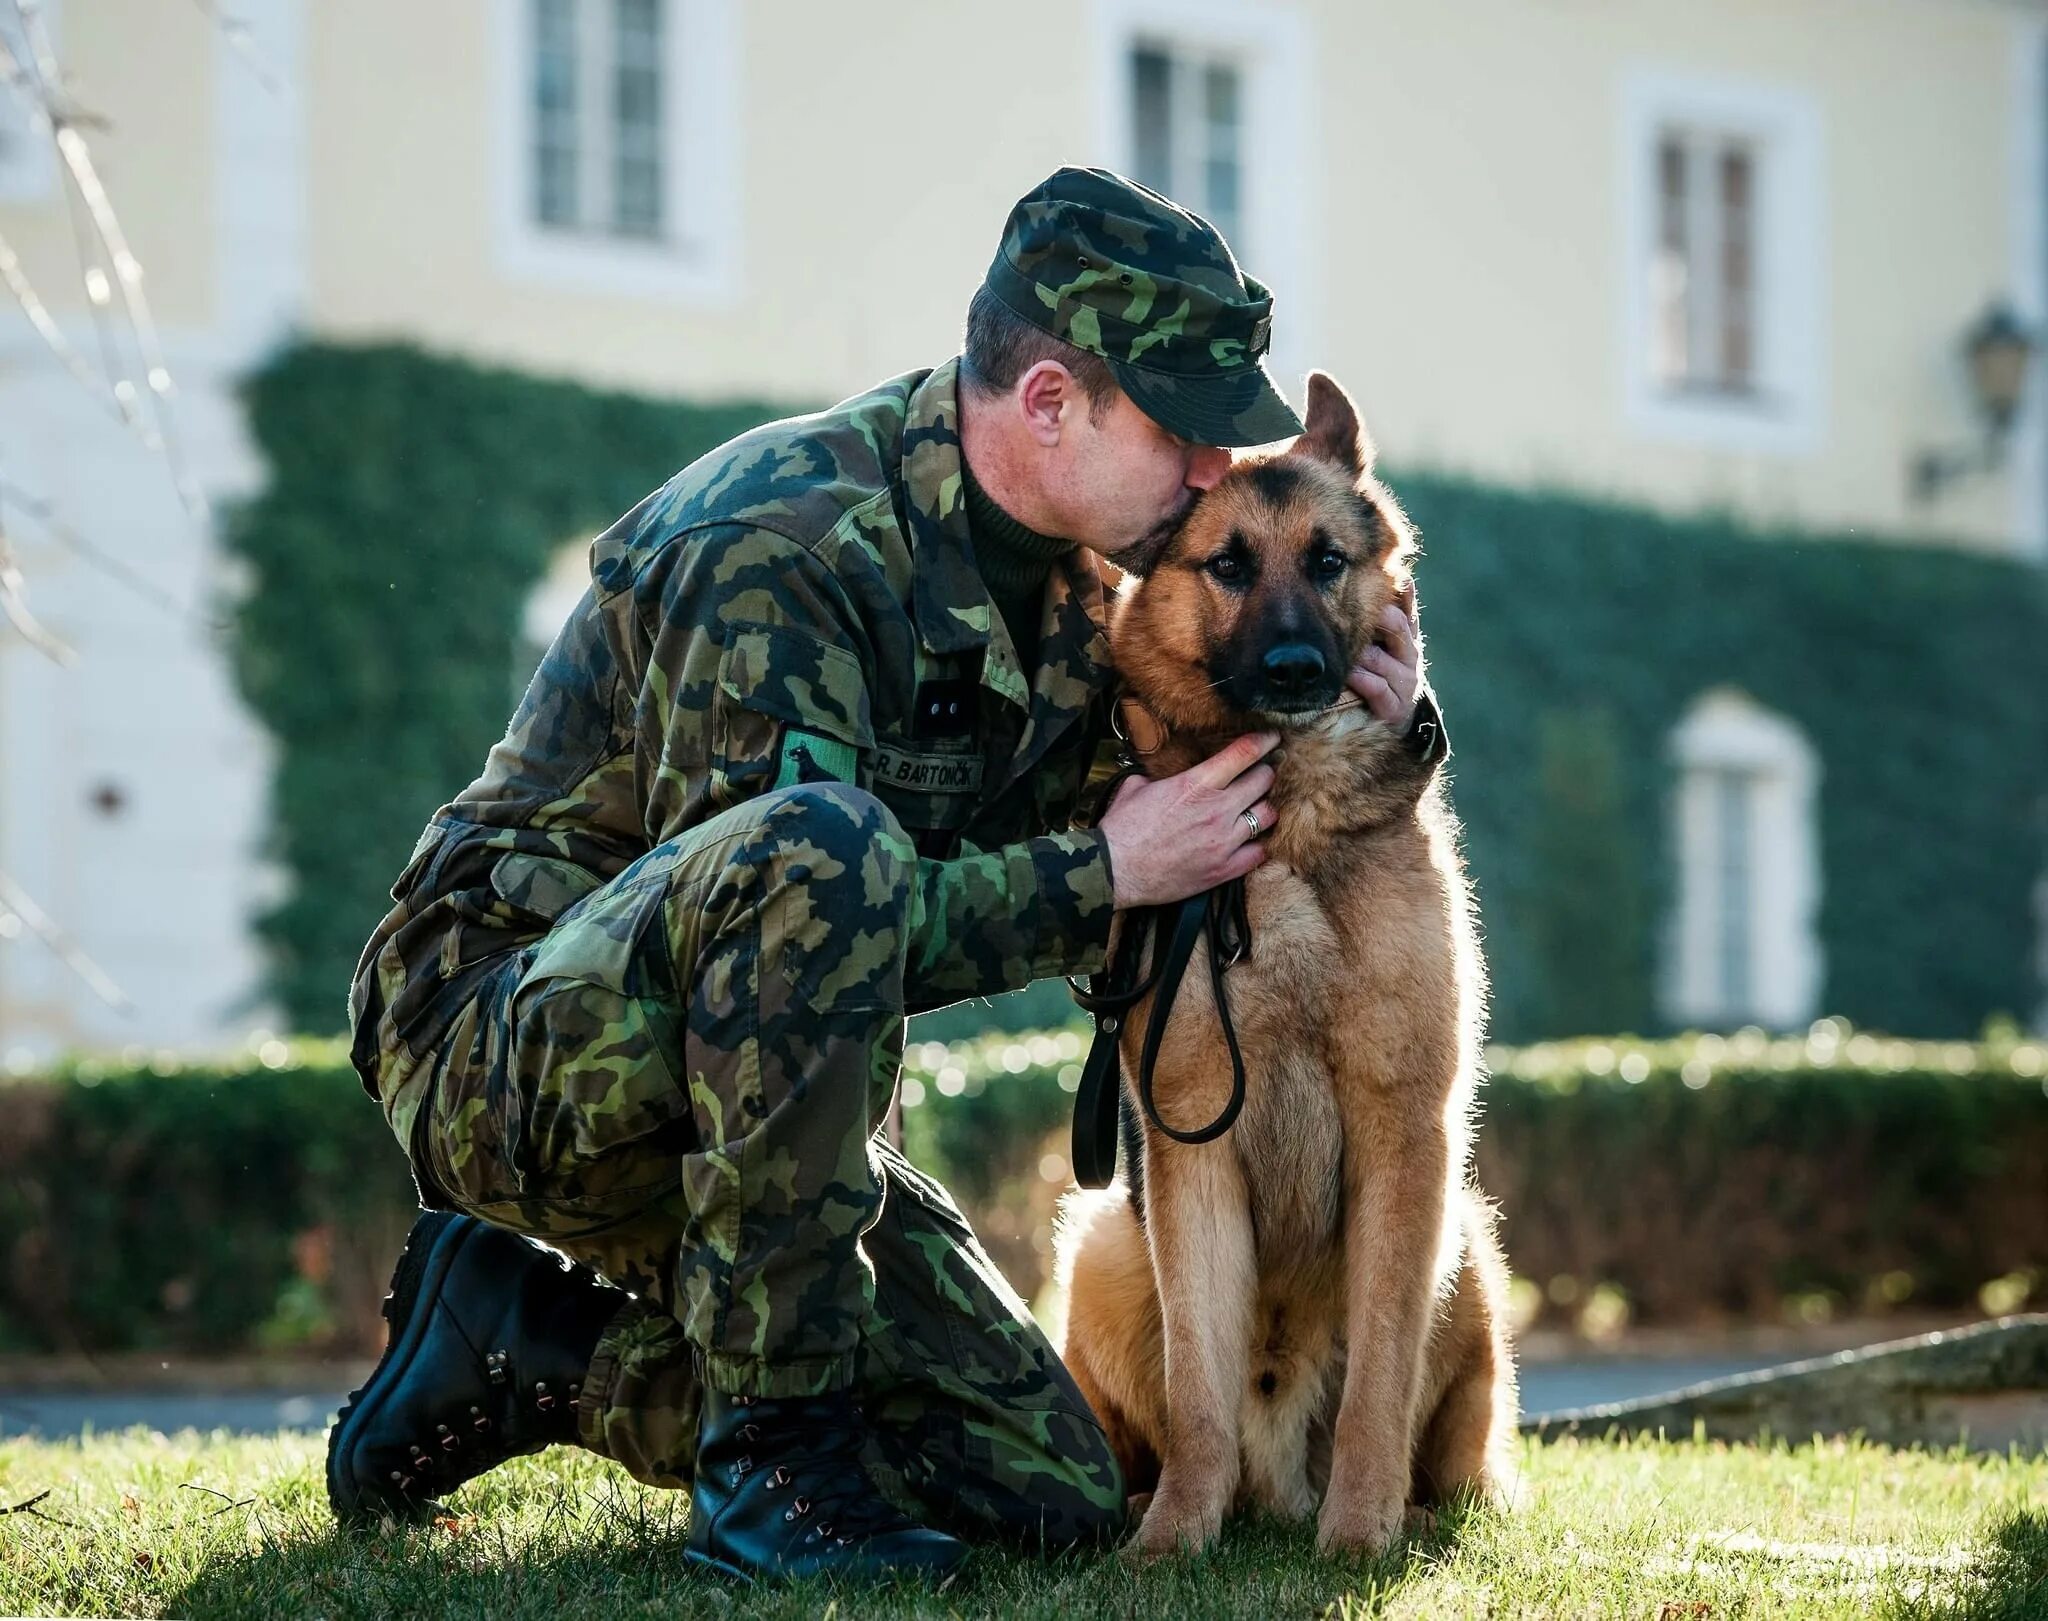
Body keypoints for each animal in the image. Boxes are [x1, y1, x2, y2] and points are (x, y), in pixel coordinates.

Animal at [1064, 370, 1515, 1555]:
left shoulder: (1406, 1136)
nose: (1295, 668)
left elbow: (1377, 1384)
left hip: (1467, 1241)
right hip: (1101, 1244)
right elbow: (1199, 1389)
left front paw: (1358, 1538)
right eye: (1226, 564)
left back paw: (1416, 1513)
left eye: (1325, 561)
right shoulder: (1189, 1151)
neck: (1291, 820)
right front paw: (1172, 1540)